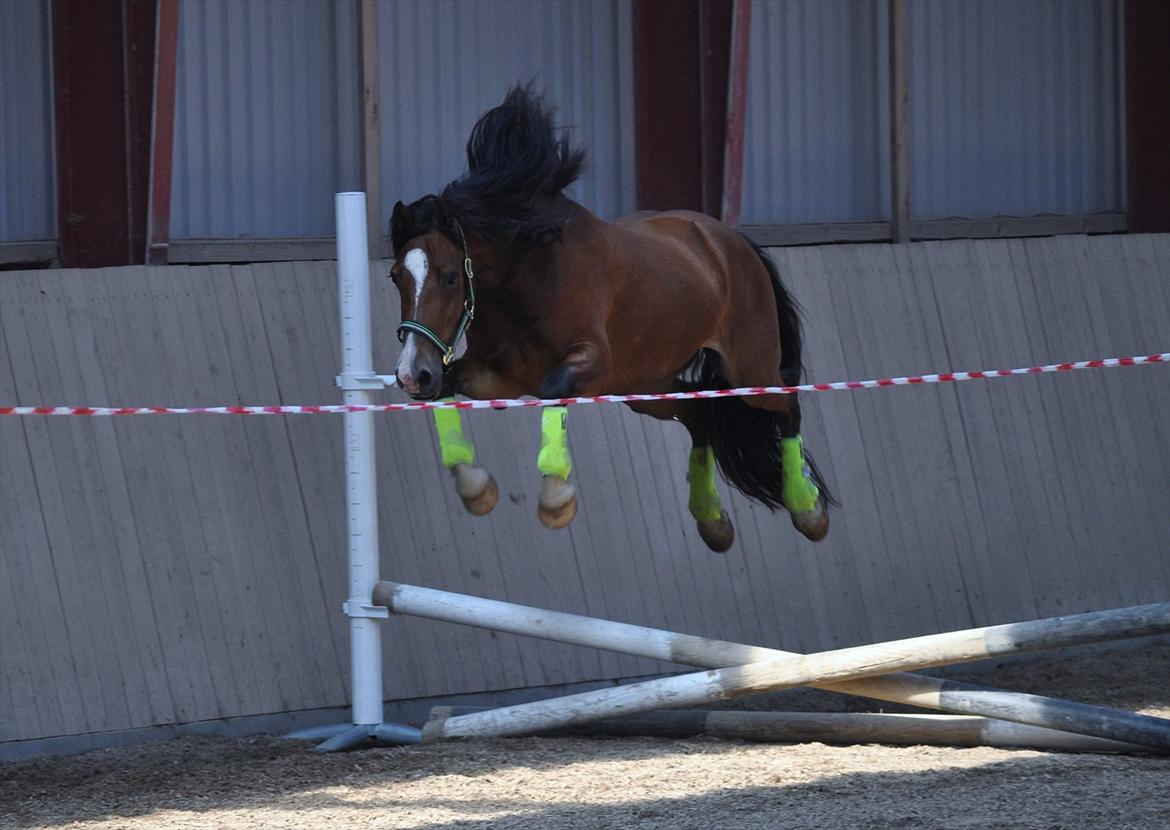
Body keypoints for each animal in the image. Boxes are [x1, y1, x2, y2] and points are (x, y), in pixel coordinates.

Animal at [388, 87, 828, 550]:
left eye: (451, 276)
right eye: (395, 275)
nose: (412, 374)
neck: (527, 276)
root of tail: (730, 241)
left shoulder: (588, 362)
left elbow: (553, 391)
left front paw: (556, 498)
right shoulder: (496, 378)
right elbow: (446, 392)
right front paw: (476, 488)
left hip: (747, 371)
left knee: (787, 404)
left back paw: (807, 508)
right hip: (643, 385)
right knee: (700, 414)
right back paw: (712, 520)